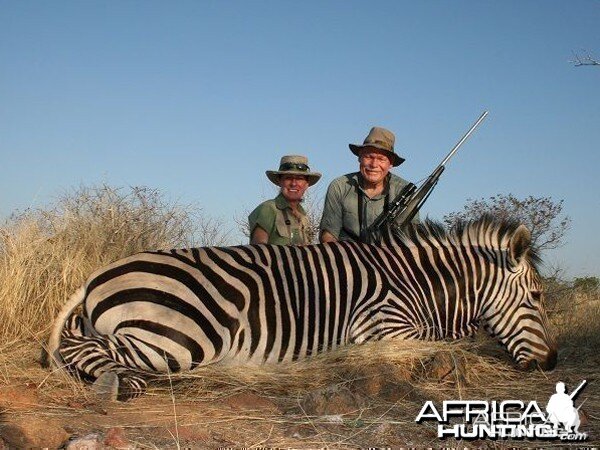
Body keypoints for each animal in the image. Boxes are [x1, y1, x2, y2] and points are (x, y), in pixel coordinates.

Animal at [43, 216, 556, 400]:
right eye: (536, 297)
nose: (553, 361)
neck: (417, 283)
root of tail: (100, 274)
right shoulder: (382, 327)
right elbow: (449, 345)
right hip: (181, 337)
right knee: (81, 349)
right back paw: (122, 383)